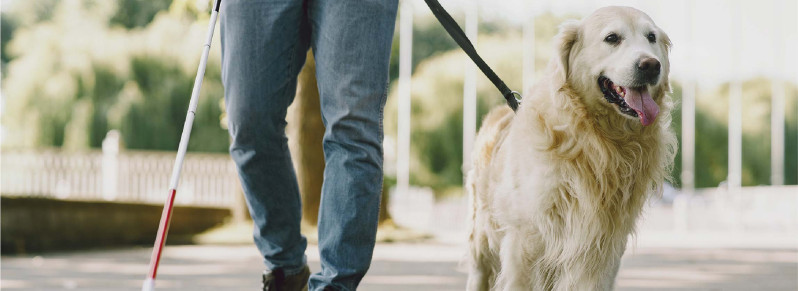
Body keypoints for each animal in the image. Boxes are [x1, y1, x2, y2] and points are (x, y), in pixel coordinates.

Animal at [466, 6, 680, 291]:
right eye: (612, 38)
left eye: (651, 37)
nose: (651, 65)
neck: (596, 138)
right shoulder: (524, 240)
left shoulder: (601, 249)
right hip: (482, 240)